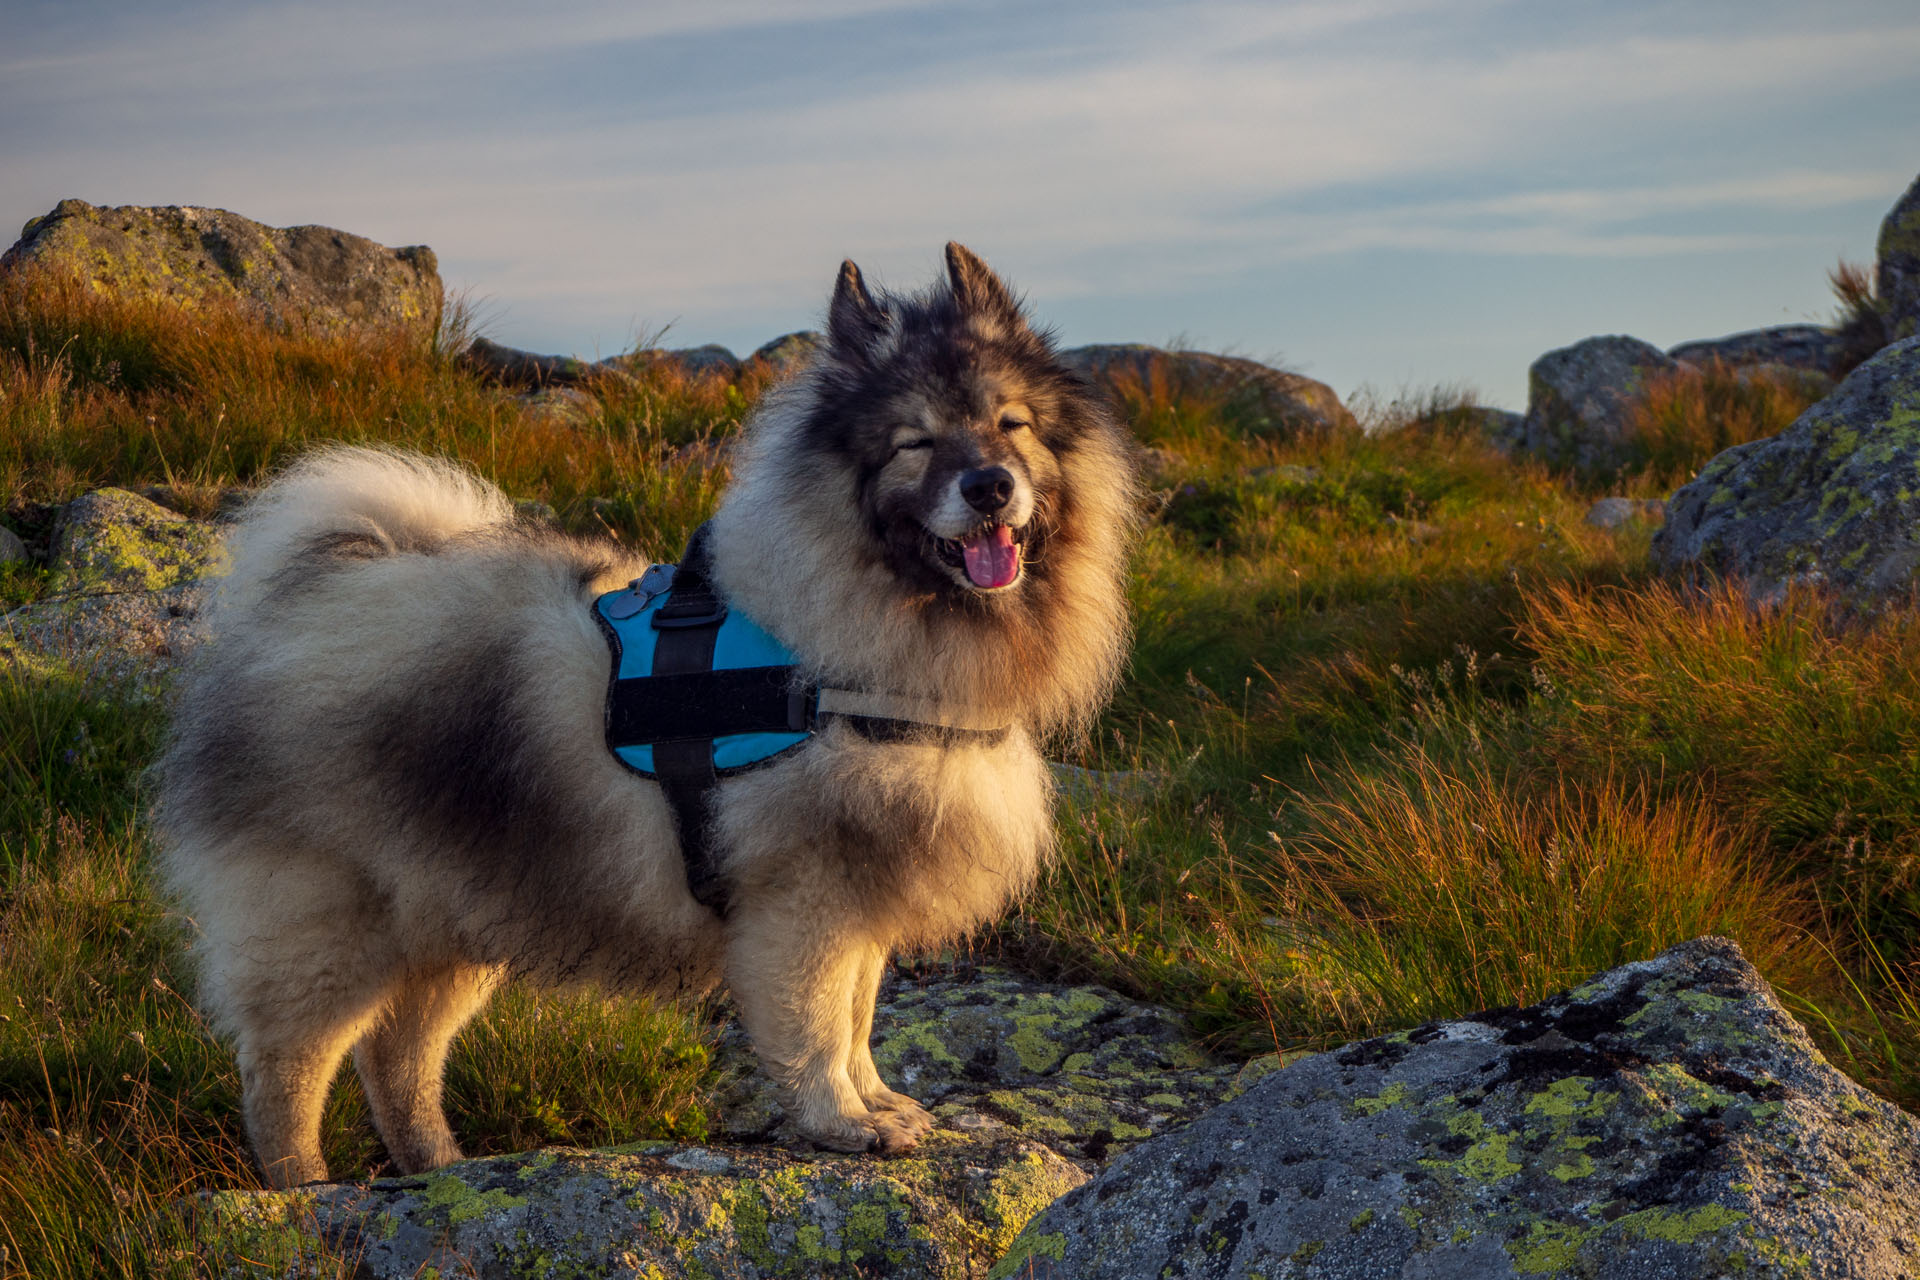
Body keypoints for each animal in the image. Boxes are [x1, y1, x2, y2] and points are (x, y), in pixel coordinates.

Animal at [157, 245, 1136, 1189]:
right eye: (915, 442)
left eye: (1011, 424)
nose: (989, 486)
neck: (847, 649)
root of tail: (314, 596)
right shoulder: (804, 900)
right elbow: (819, 1026)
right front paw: (841, 1122)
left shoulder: (859, 904)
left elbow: (857, 1020)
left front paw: (875, 1104)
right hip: (330, 924)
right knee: (287, 1069)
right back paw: (302, 1192)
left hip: (451, 915)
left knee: (399, 1058)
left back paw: (437, 1169)